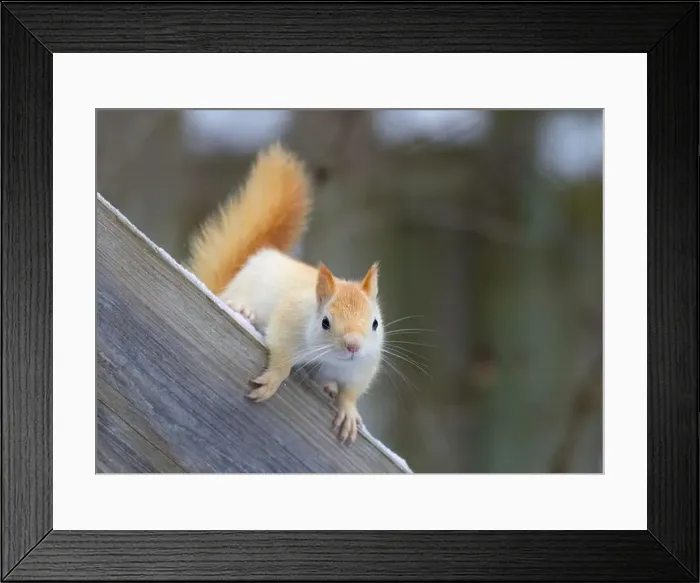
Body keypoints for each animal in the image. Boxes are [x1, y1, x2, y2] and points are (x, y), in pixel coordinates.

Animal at [187, 142, 384, 444]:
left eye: (375, 323)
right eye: (325, 322)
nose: (353, 346)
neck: (329, 358)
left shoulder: (361, 367)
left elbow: (351, 392)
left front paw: (349, 411)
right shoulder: (288, 325)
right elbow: (282, 357)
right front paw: (273, 380)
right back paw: (242, 310)